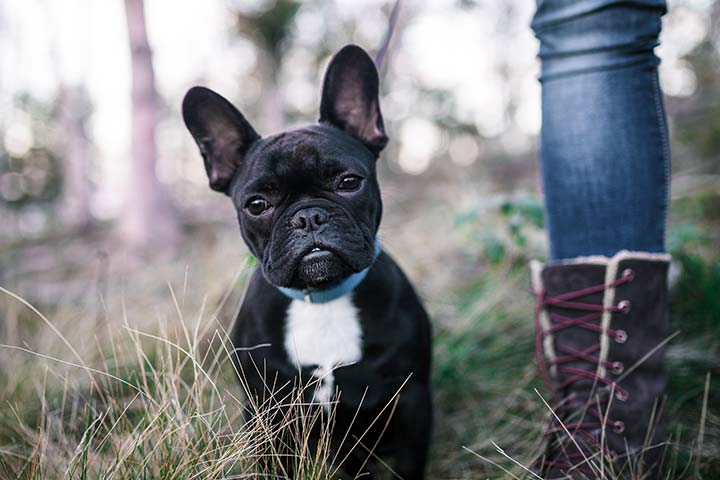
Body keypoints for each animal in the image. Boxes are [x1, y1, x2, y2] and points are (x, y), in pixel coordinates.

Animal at [183, 44, 430, 476]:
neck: (321, 297)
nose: (308, 216)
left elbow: (408, 467)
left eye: (349, 182)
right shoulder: (266, 414)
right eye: (257, 205)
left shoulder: (412, 399)